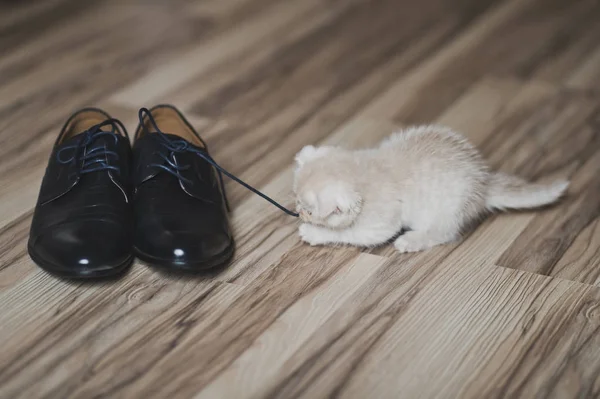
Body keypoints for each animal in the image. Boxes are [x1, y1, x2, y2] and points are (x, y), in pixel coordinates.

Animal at [292, 126, 568, 253]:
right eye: (296, 200)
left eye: (309, 211)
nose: (298, 211)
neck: (362, 171)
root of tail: (484, 183)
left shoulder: (378, 225)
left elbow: (347, 234)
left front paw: (314, 232)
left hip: (445, 211)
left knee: (444, 234)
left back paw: (411, 240)